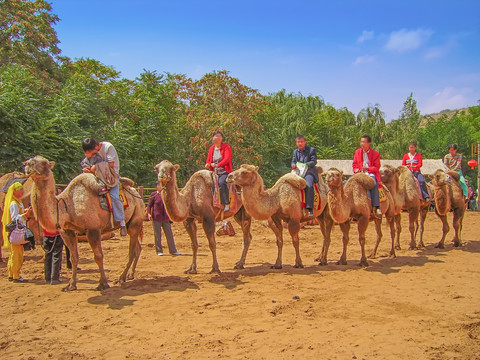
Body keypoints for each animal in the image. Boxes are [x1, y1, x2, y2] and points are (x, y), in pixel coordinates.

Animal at [23, 155, 144, 290]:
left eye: (44, 163)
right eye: (29, 161)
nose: (27, 165)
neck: (67, 206)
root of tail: (137, 193)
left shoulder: (93, 229)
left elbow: (98, 256)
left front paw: (103, 283)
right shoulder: (67, 231)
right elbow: (74, 257)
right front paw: (71, 285)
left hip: (136, 218)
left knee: (132, 250)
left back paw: (121, 278)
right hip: (130, 222)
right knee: (138, 248)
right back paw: (130, 275)